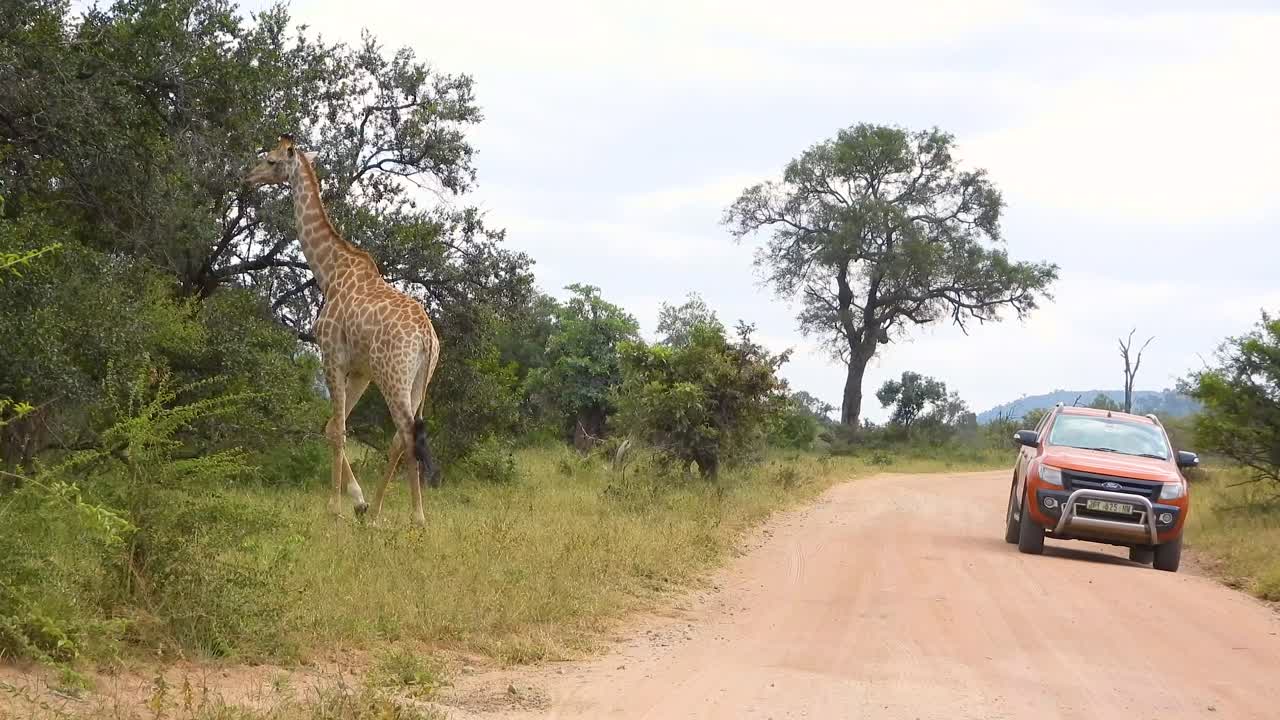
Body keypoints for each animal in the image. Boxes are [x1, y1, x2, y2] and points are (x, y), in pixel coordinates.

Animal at [243, 133, 442, 525]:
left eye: (272, 160)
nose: (248, 178)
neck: (329, 271)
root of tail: (427, 336)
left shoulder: (330, 354)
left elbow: (338, 432)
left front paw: (335, 507)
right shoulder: (361, 370)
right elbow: (331, 427)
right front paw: (359, 502)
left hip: (393, 375)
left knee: (406, 432)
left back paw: (416, 517)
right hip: (417, 380)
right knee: (402, 436)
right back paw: (378, 512)